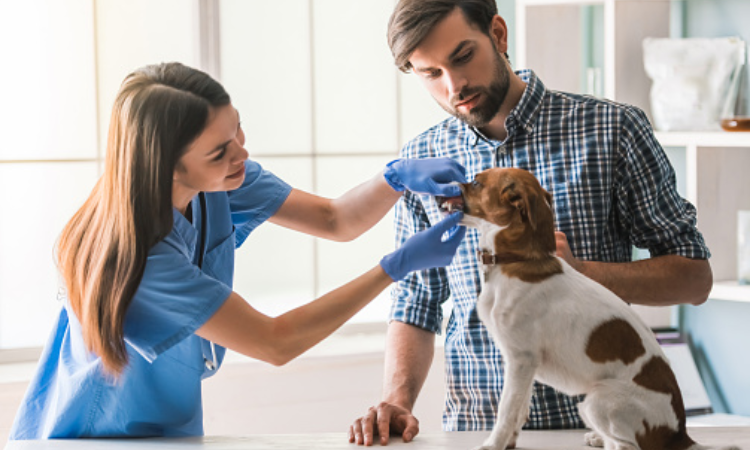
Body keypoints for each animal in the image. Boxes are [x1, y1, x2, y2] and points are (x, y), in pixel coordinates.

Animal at [440, 168, 740, 450]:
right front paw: (509, 442)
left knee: (626, 445)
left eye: (476, 182)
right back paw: (597, 437)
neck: (515, 260)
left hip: (596, 401)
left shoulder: (521, 359)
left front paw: (493, 443)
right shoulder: (522, 365)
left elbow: (506, 410)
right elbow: (520, 408)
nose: (442, 188)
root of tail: (679, 435)